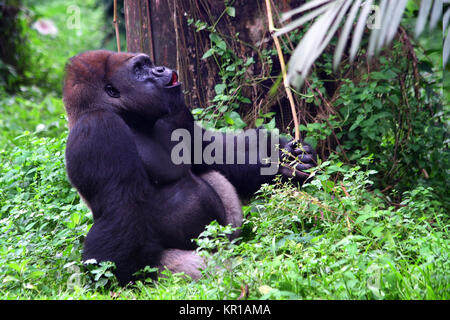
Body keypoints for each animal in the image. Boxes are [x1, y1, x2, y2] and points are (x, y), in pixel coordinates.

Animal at [63, 50, 316, 284]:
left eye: (148, 63)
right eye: (138, 69)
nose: (160, 69)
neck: (129, 117)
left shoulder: (178, 112)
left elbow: (210, 150)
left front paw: (281, 158)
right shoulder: (97, 128)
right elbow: (118, 209)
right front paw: (117, 282)